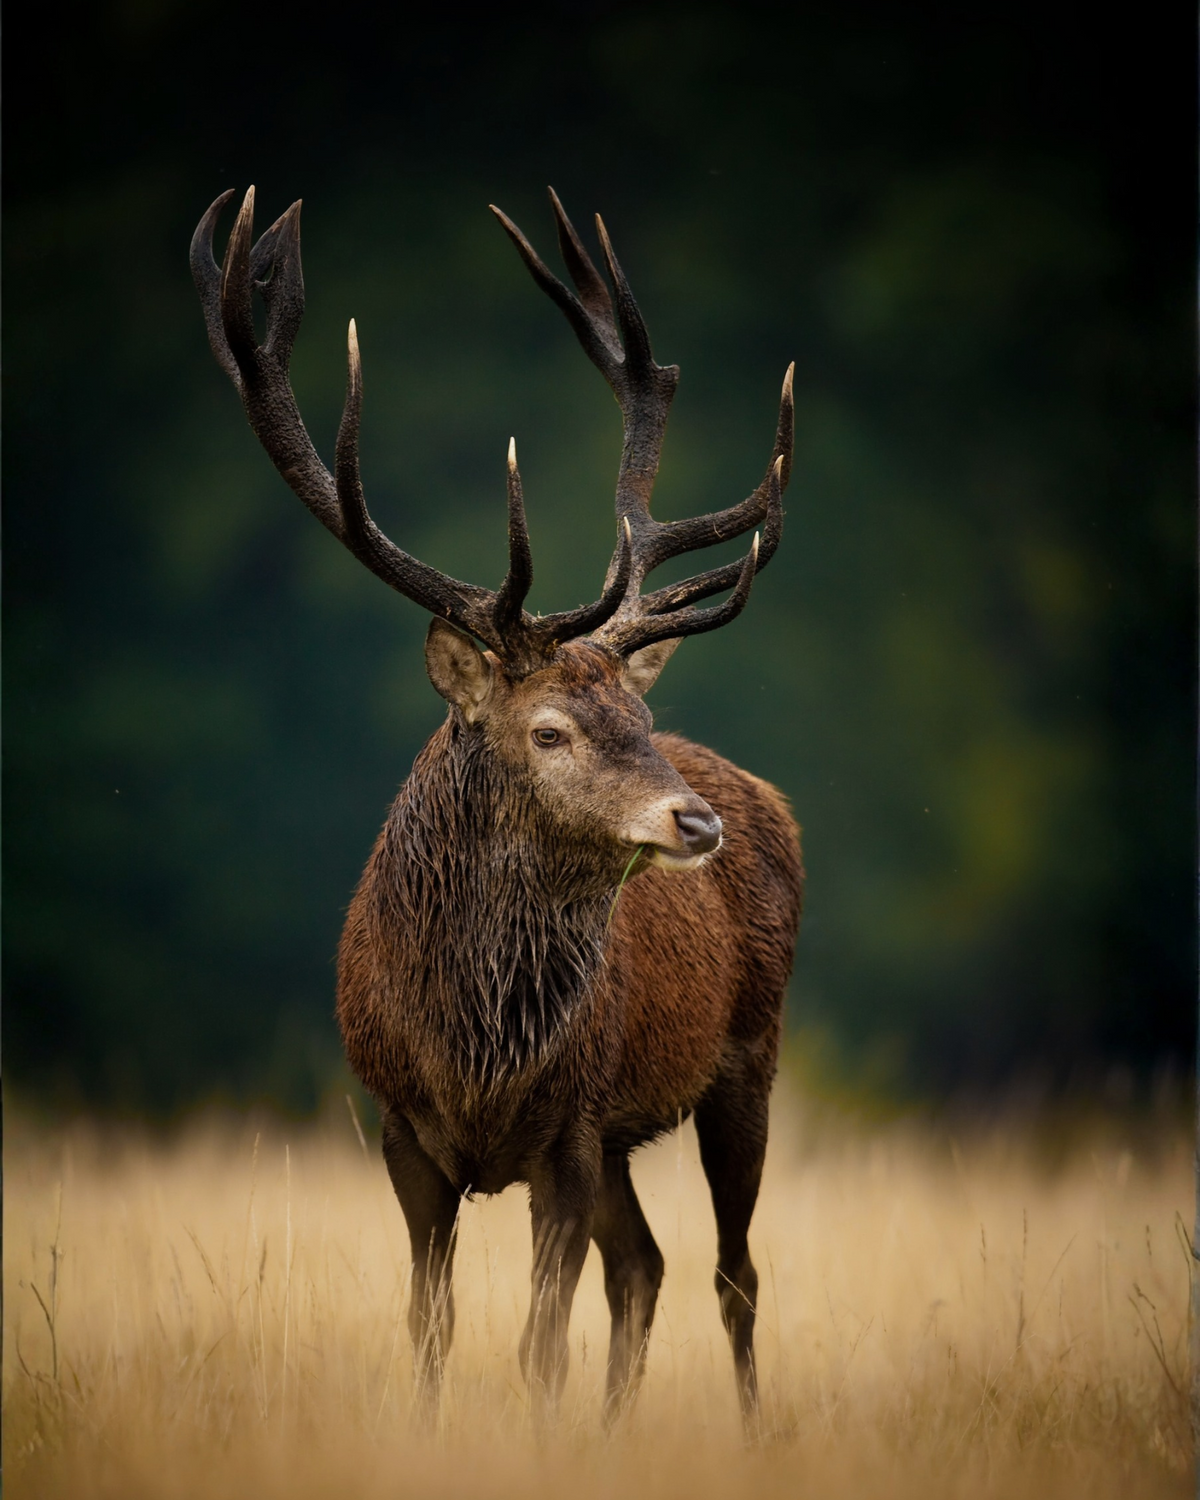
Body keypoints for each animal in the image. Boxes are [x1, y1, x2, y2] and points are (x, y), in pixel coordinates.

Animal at [190, 185, 803, 1430]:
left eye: (638, 711)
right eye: (549, 730)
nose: (694, 826)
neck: (473, 1052)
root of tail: (767, 799)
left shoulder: (565, 1132)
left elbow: (538, 1347)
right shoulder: (403, 1136)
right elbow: (430, 1328)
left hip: (745, 1058)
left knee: (732, 1270)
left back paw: (752, 1433)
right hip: (625, 1135)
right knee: (647, 1264)